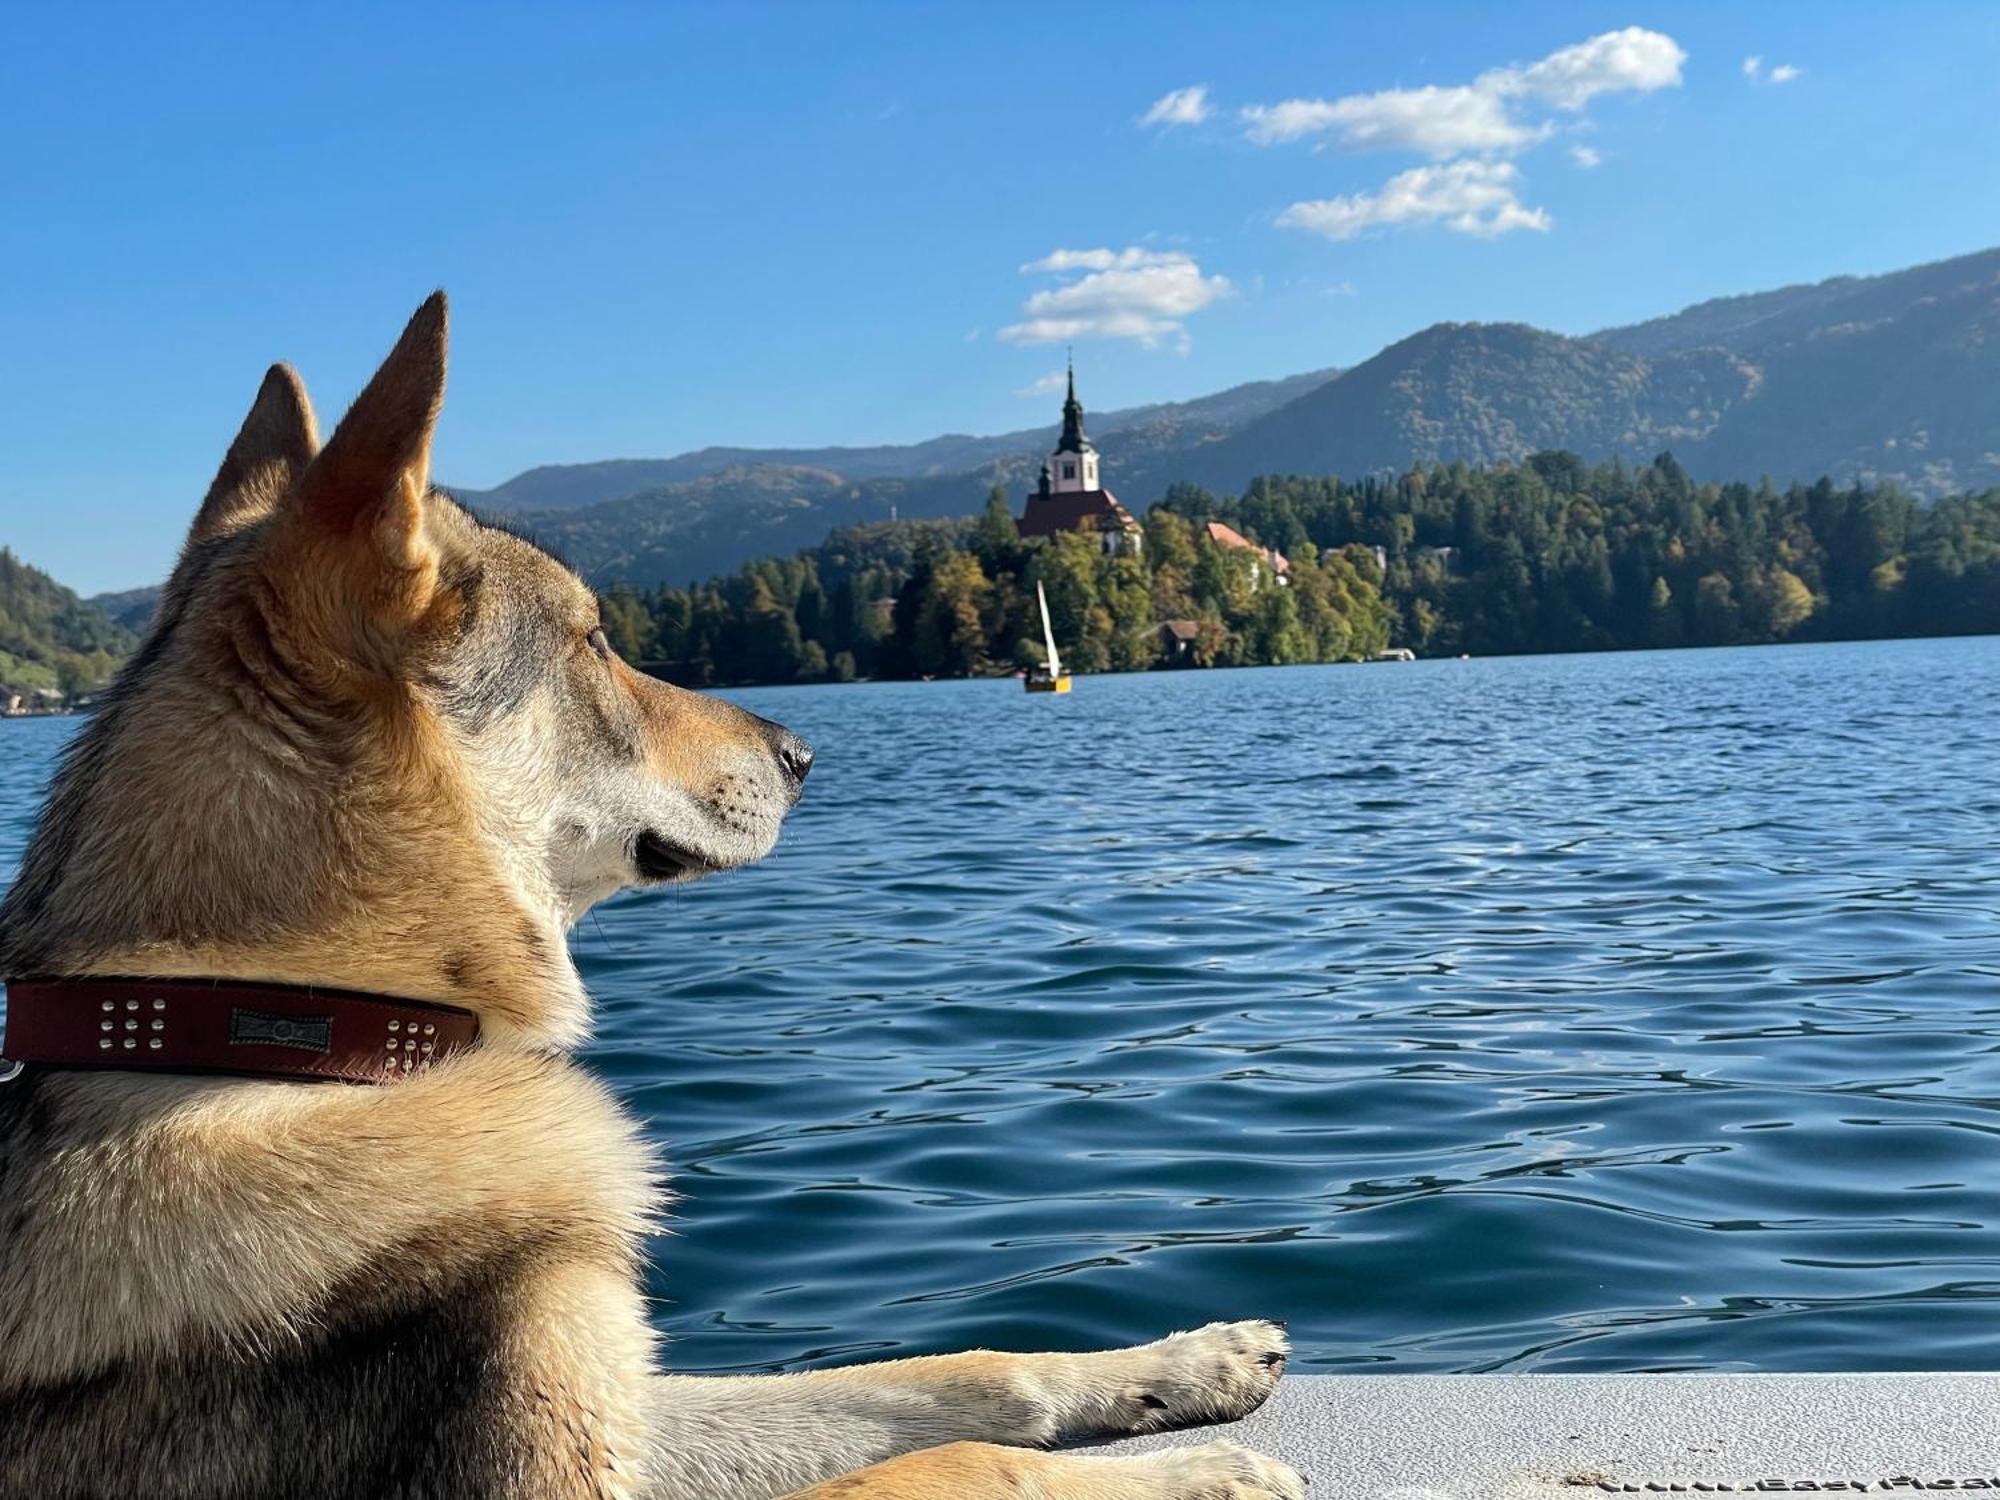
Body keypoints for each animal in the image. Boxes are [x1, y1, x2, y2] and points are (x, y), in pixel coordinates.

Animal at [0, 296, 1296, 1500]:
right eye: (594, 640)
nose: (802, 752)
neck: (285, 1039)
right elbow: (962, 1463)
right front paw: (1202, 1476)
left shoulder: (620, 1391)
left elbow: (963, 1378)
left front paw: (1186, 1364)